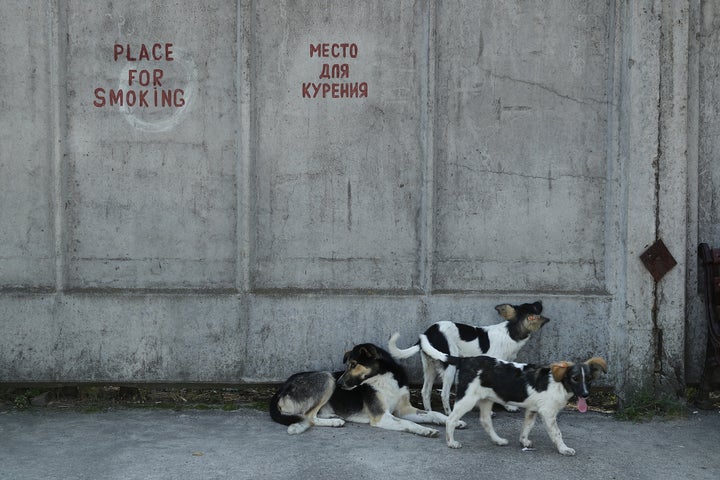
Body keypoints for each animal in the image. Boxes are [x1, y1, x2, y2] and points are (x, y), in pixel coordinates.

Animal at [268, 344, 464, 436]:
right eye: (347, 364)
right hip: (326, 378)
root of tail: (281, 389)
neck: (383, 377)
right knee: (308, 417)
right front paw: (424, 430)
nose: (340, 383)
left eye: (353, 365)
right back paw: (334, 422)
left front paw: (454, 421)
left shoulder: (404, 410)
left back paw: (332, 416)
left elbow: (433, 414)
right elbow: (409, 424)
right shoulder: (382, 416)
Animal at [388, 302, 552, 414]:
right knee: (444, 394)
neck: (511, 332)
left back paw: (429, 412)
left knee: (425, 391)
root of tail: (429, 332)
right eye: (536, 308)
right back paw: (448, 414)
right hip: (450, 366)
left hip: (430, 367)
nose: (540, 301)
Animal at [420, 336, 612, 456]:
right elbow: (557, 433)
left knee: (485, 421)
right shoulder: (548, 413)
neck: (559, 384)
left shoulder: (532, 410)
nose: (585, 395)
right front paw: (564, 449)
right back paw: (451, 442)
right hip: (467, 399)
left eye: (589, 379)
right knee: (451, 419)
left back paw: (498, 440)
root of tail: (466, 360)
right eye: (575, 378)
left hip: (486, 399)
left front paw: (524, 441)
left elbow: (527, 426)